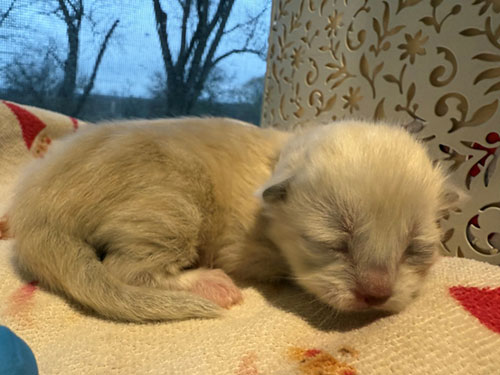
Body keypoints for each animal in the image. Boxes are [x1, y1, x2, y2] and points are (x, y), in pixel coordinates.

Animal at [7, 118, 460, 324]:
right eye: (334, 241)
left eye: (415, 248)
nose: (376, 295)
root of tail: (33, 210)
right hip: (173, 203)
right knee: (124, 270)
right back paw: (211, 285)